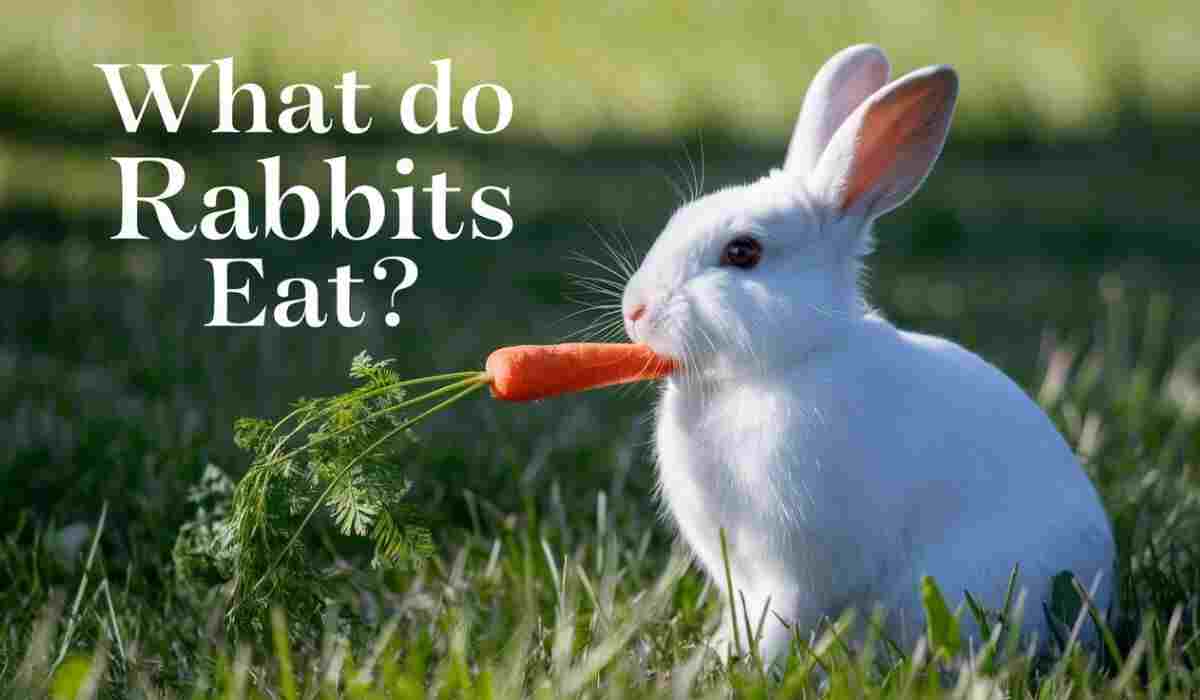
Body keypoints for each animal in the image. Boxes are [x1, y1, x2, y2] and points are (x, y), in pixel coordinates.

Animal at [624, 43, 1118, 662]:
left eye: (743, 252)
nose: (635, 310)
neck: (782, 363)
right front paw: (717, 655)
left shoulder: (792, 570)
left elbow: (778, 621)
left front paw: (751, 666)